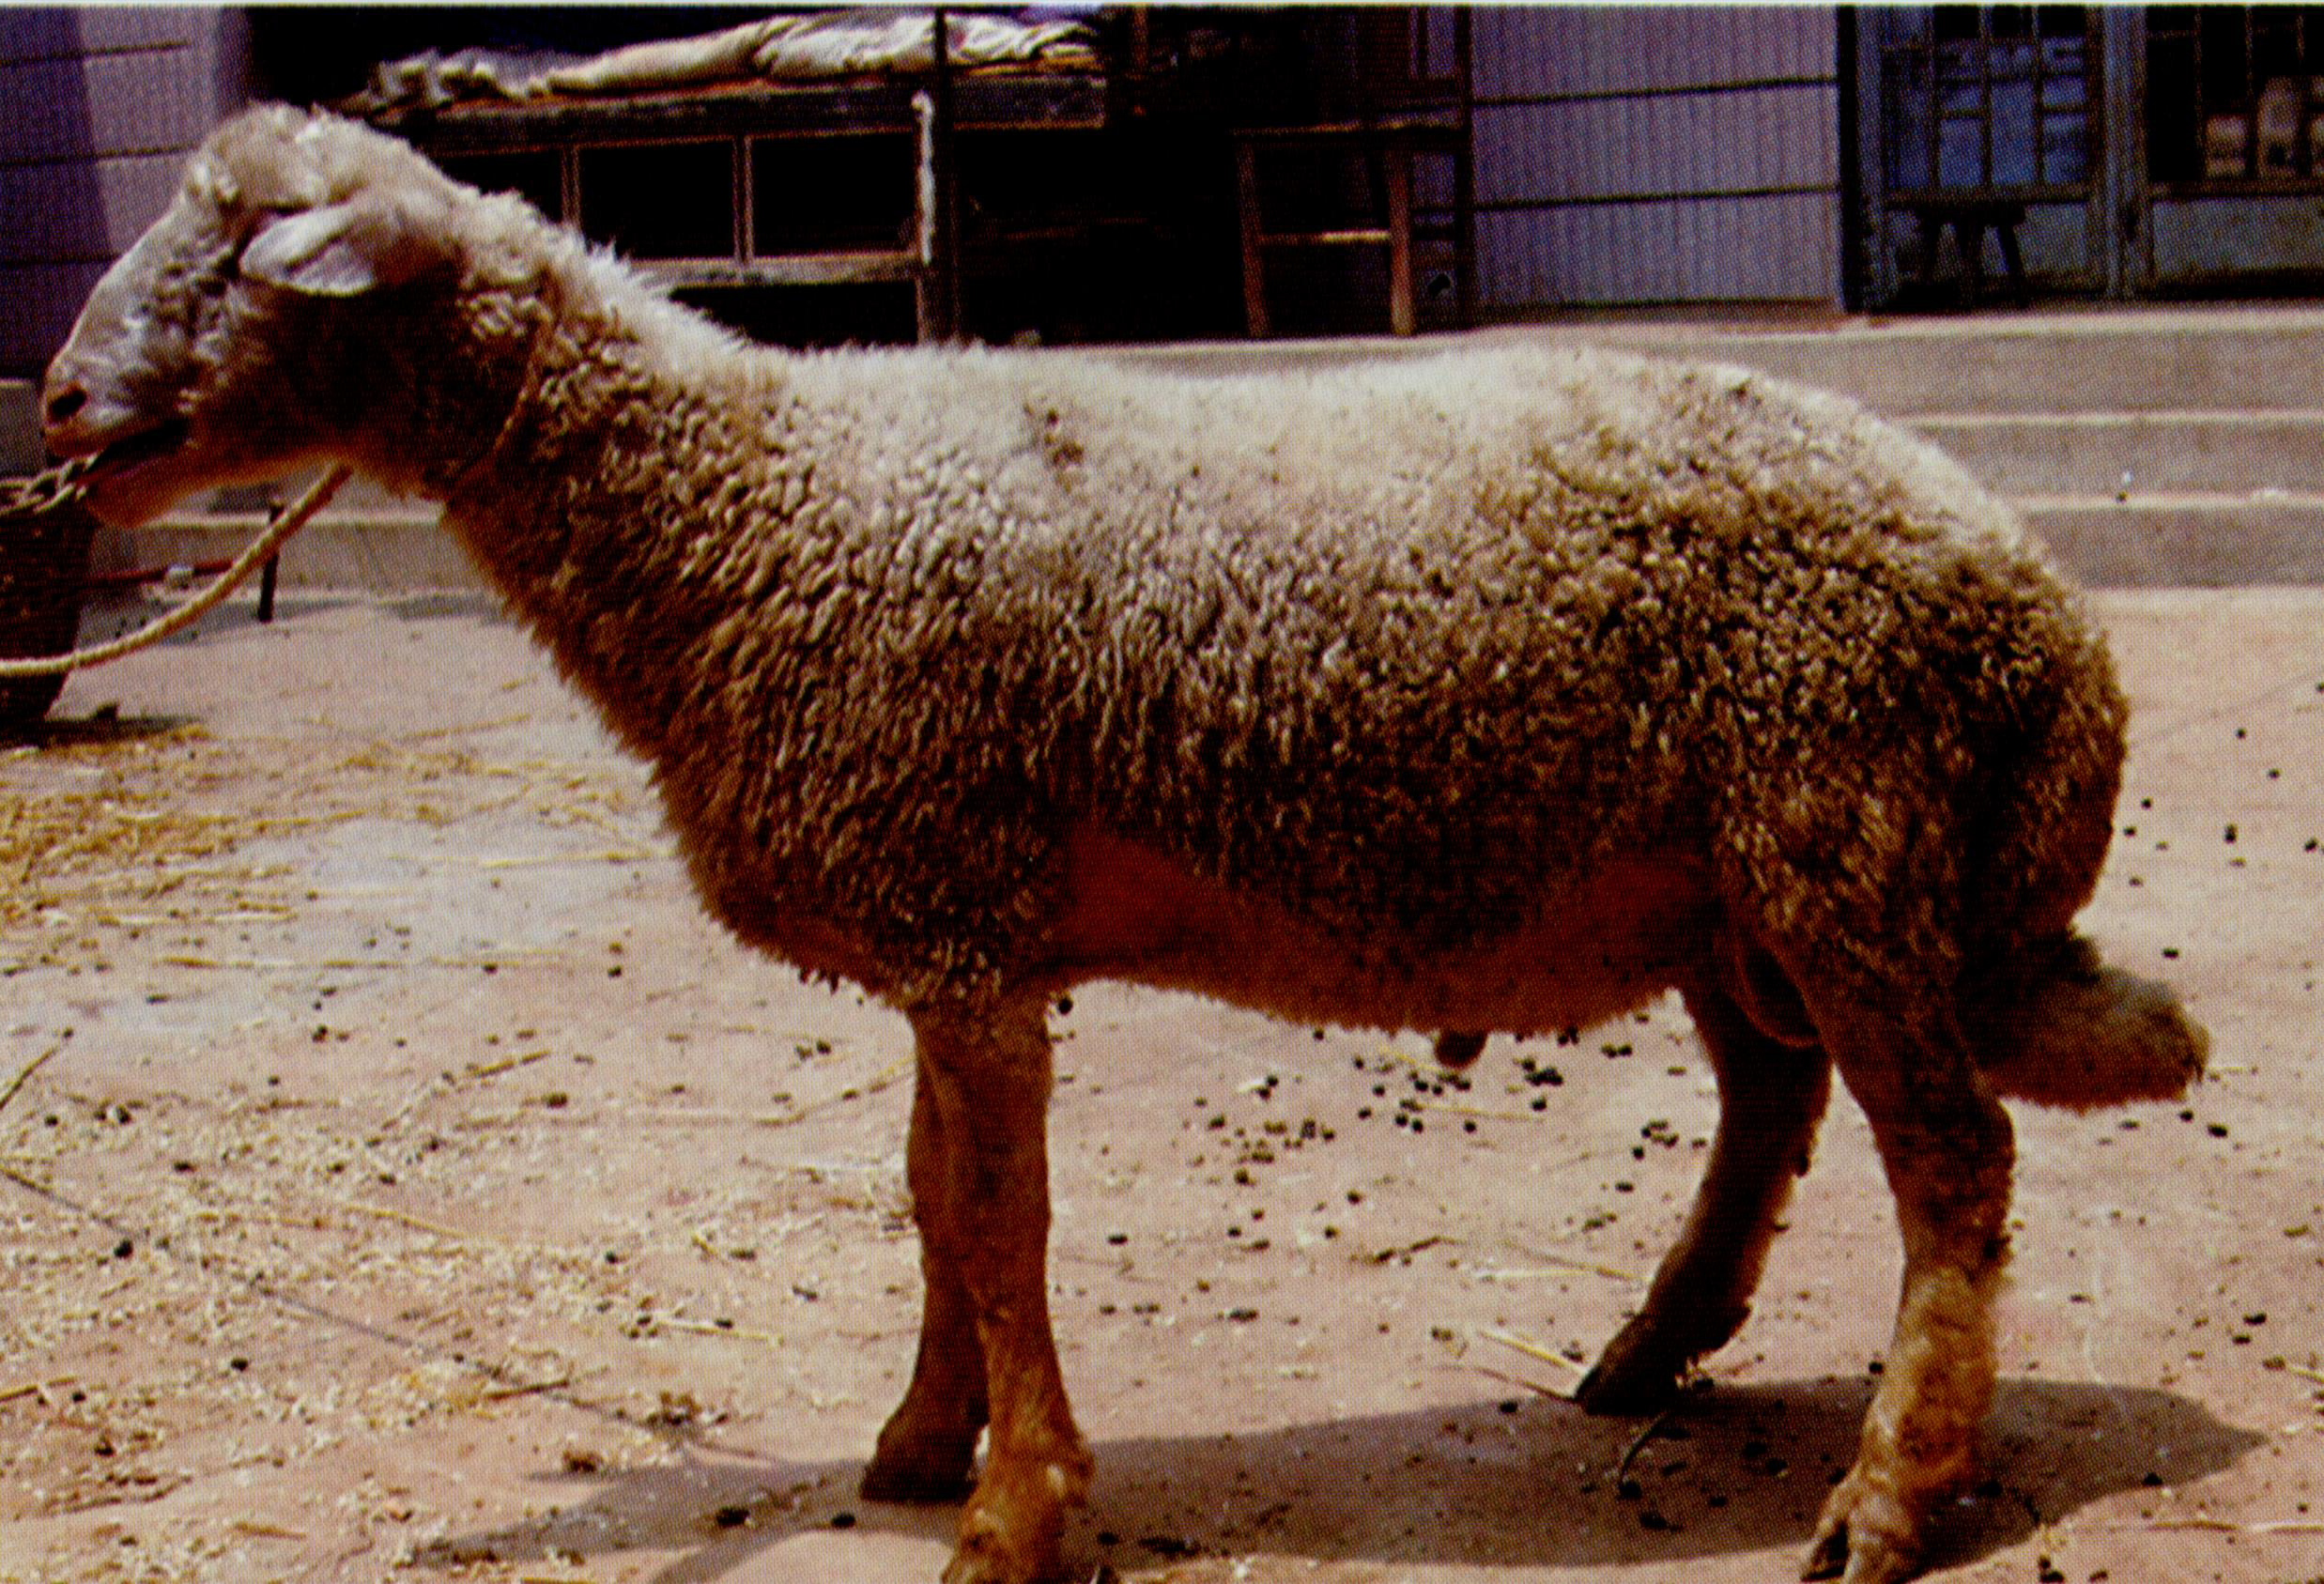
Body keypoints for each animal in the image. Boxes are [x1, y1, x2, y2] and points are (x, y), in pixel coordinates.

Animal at [40, 106, 2206, 1584]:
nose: (58, 402)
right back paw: (1649, 1349)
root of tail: (2051, 616)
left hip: (1847, 827)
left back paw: (1885, 1494)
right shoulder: (951, 924)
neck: (749, 503)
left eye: (242, 251)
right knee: (1773, 1098)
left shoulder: (964, 913)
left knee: (1952, 1162)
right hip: (1731, 880)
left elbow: (1000, 1223)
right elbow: (930, 1203)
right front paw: (923, 1440)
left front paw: (1014, 1512)